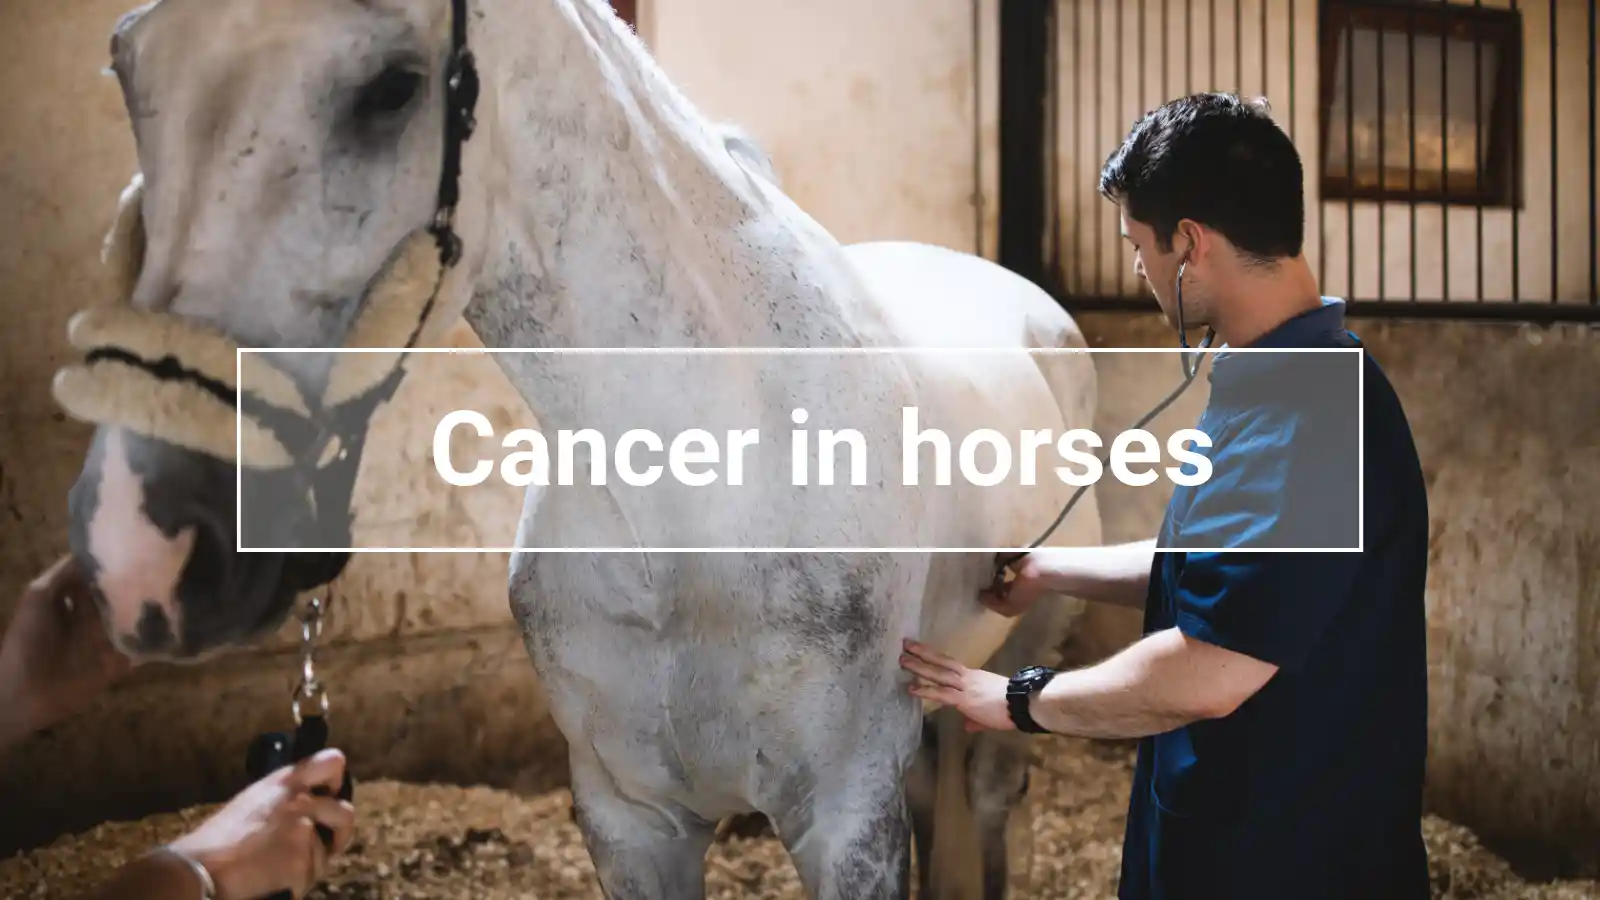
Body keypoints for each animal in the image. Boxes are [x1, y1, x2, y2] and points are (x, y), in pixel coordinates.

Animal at [53, 0, 1105, 897]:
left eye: (391, 86)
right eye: (127, 62)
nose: (141, 552)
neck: (698, 495)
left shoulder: (845, 819)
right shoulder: (630, 822)